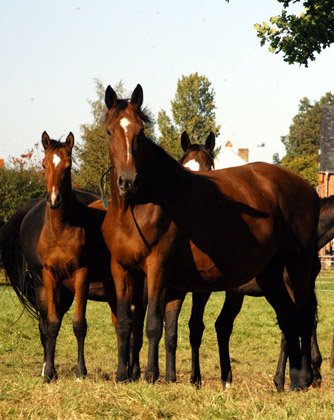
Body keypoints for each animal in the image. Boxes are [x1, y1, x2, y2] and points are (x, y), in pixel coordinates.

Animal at [102, 84, 320, 390]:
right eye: (110, 131)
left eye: (140, 133)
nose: (128, 181)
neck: (138, 205)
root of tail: (306, 187)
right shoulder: (120, 269)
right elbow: (124, 322)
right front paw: (122, 376)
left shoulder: (157, 268)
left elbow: (154, 324)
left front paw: (150, 376)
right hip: (270, 273)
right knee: (288, 318)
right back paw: (290, 380)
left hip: (297, 266)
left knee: (303, 317)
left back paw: (304, 378)